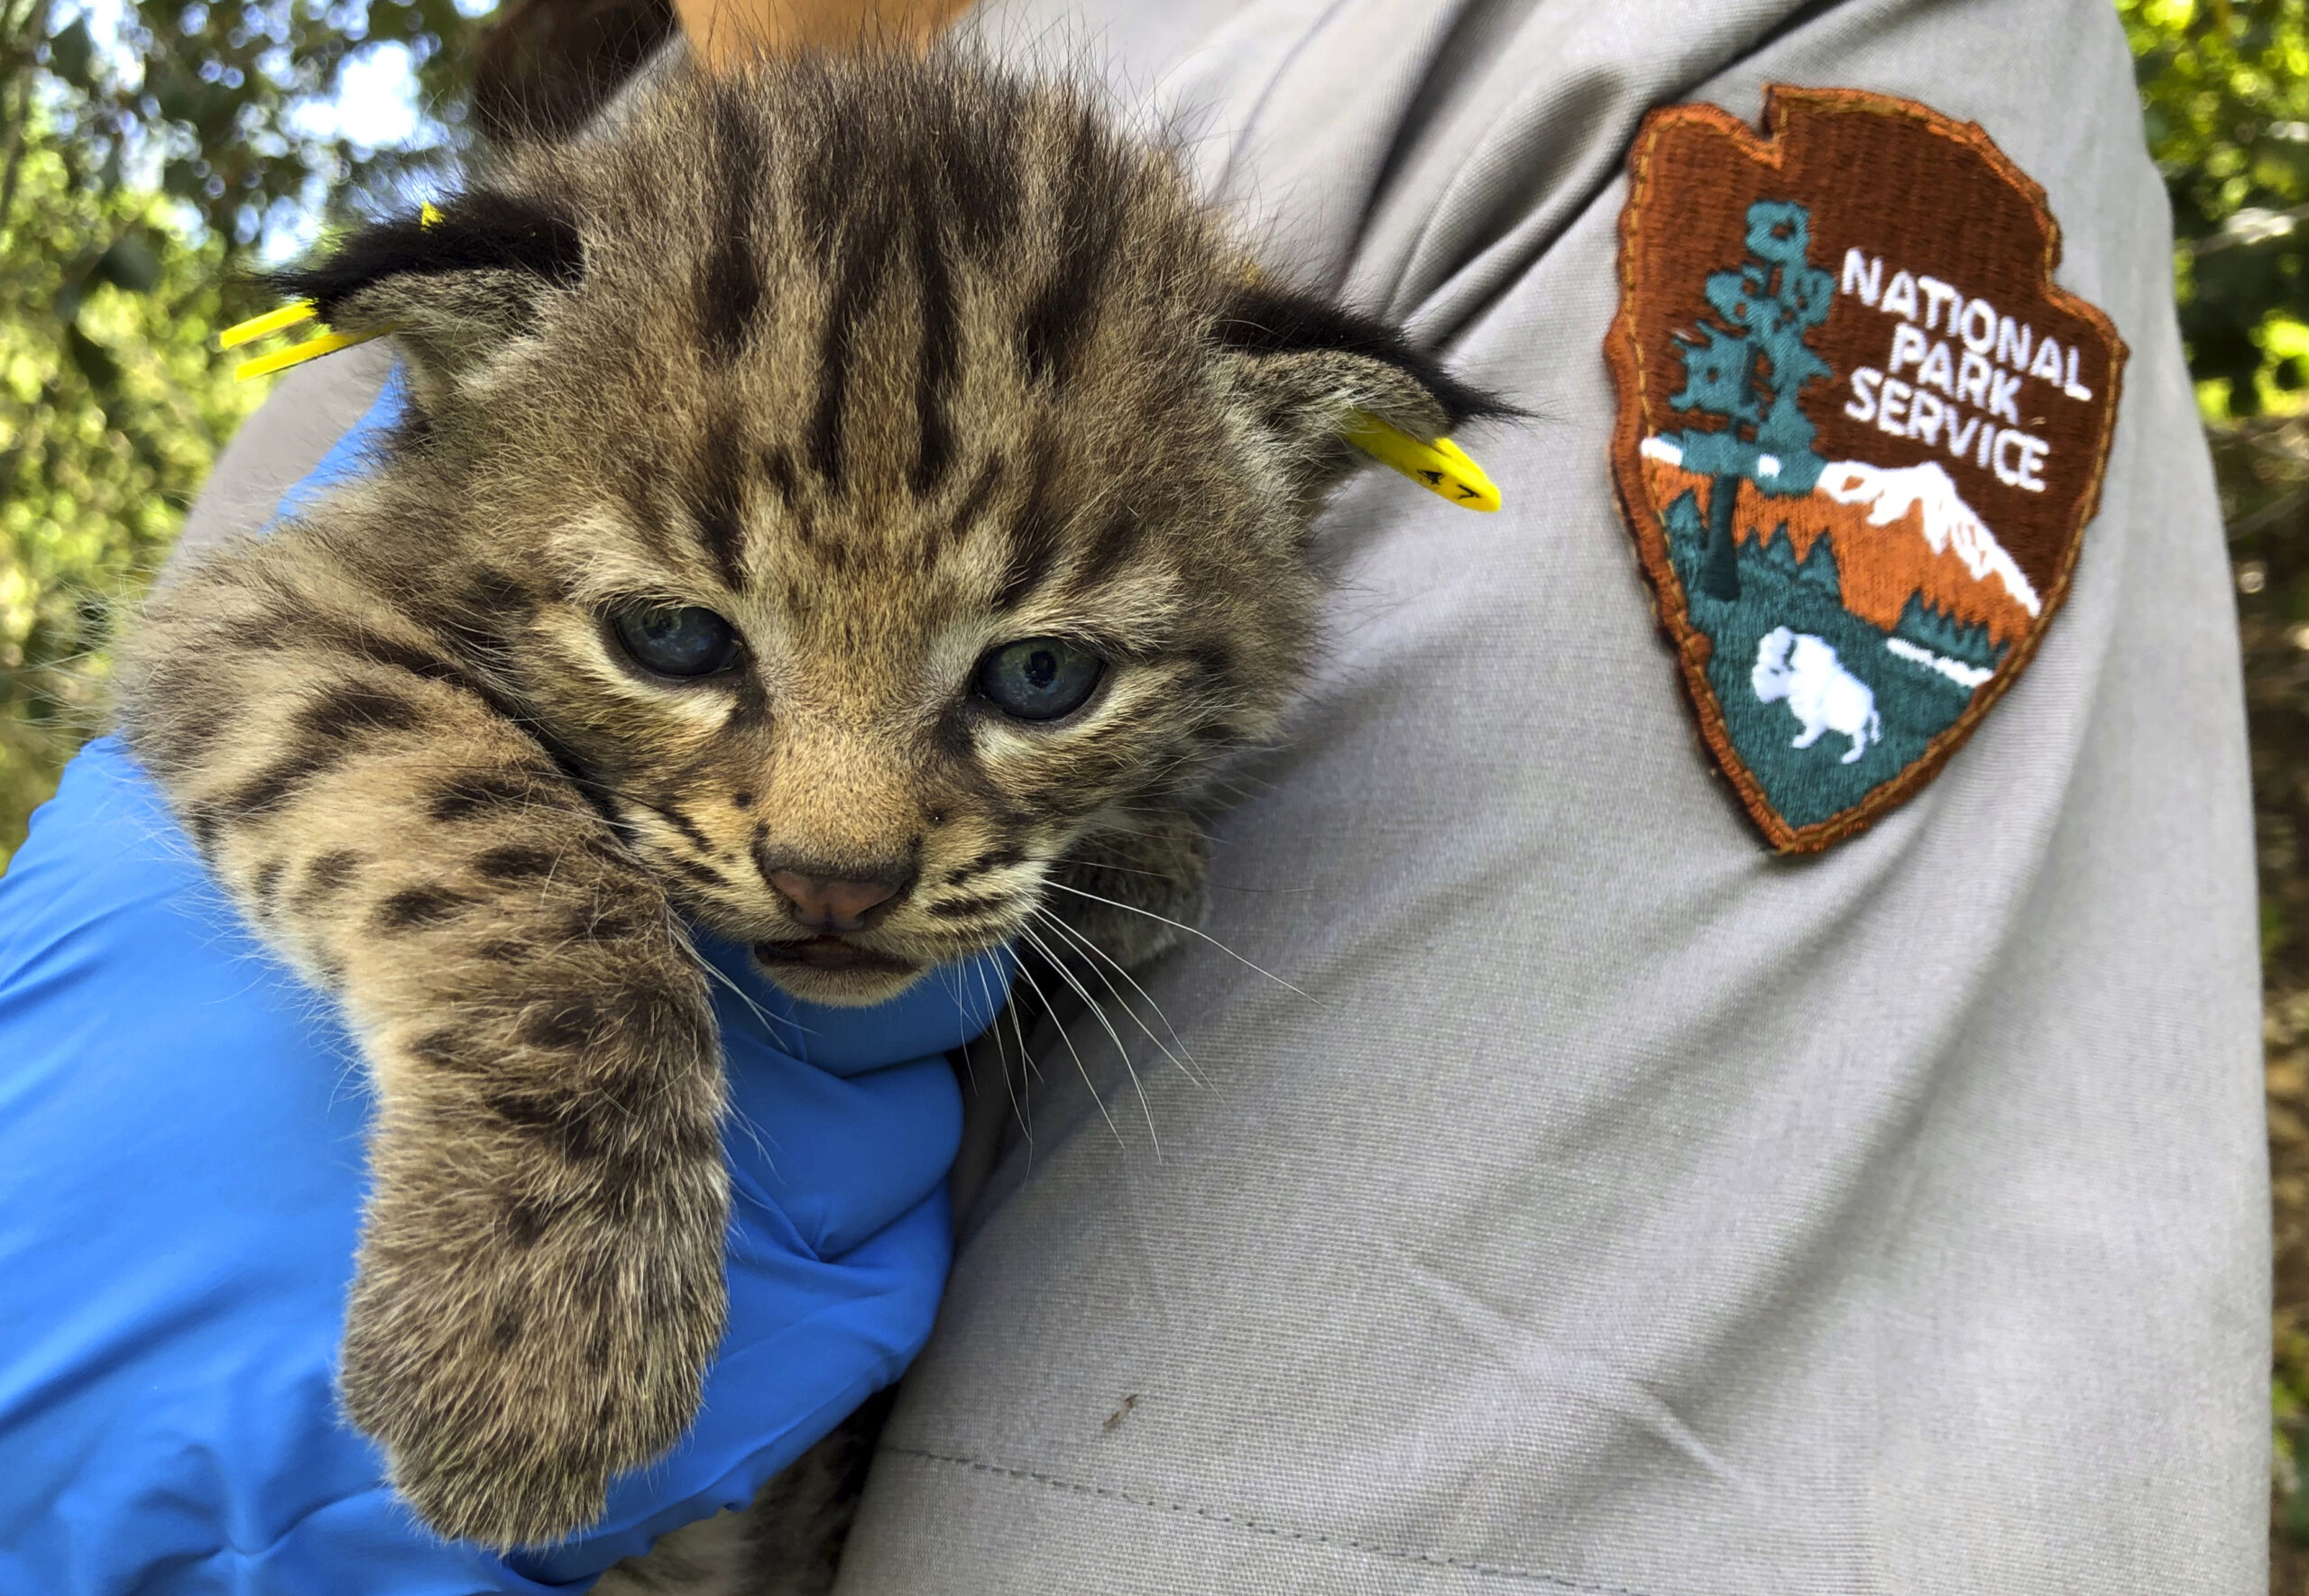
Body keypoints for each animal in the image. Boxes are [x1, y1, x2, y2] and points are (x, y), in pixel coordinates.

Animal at [116, 52, 1505, 1561]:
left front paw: (1134, 864)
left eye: (1044, 677)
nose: (835, 879)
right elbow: (513, 851)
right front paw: (533, 1337)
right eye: (670, 639)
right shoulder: (263, 612)